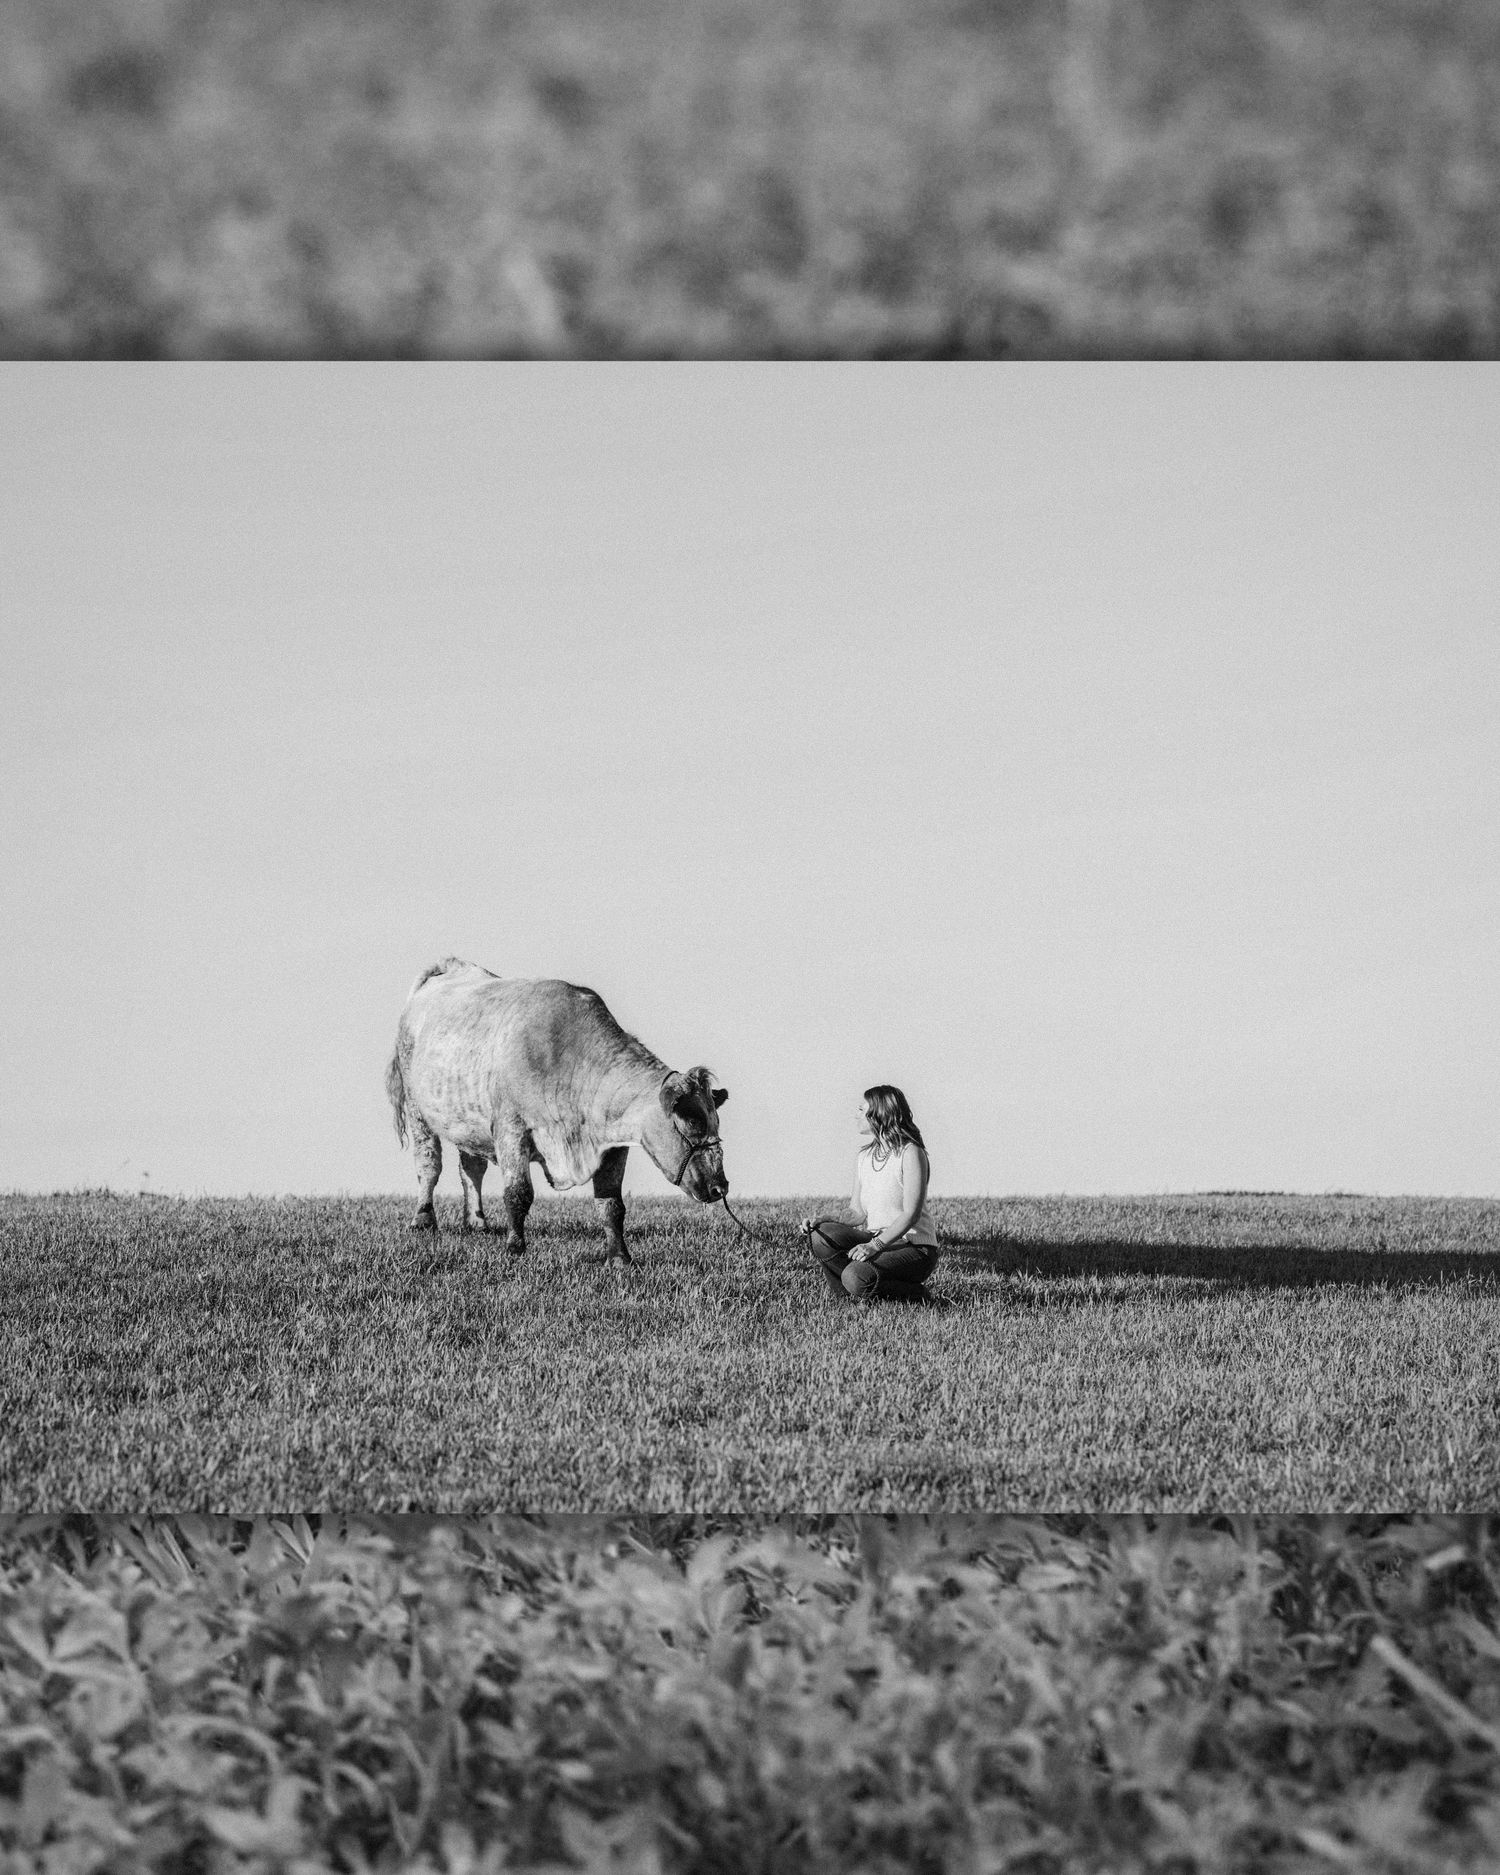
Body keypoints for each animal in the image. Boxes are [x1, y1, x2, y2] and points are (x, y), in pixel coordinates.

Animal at [385, 957, 729, 1264]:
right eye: (691, 1119)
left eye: (715, 1121)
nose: (720, 1187)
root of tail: (449, 967)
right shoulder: (511, 1129)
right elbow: (518, 1193)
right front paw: (515, 1248)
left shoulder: (613, 1146)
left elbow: (611, 1205)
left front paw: (619, 1257)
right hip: (417, 1109)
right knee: (428, 1164)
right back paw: (423, 1219)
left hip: (467, 1120)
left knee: (471, 1168)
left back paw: (477, 1221)